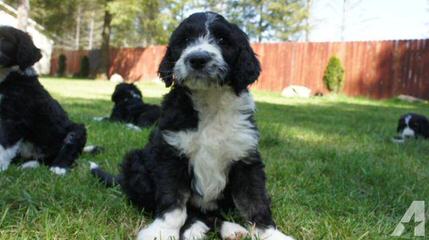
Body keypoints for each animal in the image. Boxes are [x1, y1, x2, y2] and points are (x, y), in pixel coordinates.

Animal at [0, 26, 95, 175]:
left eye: (4, 39)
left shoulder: (13, 118)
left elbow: (5, 143)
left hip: (76, 131)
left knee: (64, 154)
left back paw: (58, 168)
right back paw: (28, 164)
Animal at [90, 12, 294, 240]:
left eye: (222, 40)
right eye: (185, 40)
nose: (197, 59)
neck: (209, 101)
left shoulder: (245, 158)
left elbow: (255, 201)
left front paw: (270, 234)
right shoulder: (171, 154)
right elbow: (173, 201)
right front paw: (162, 231)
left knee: (213, 214)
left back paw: (230, 229)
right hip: (135, 162)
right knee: (192, 212)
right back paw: (197, 228)